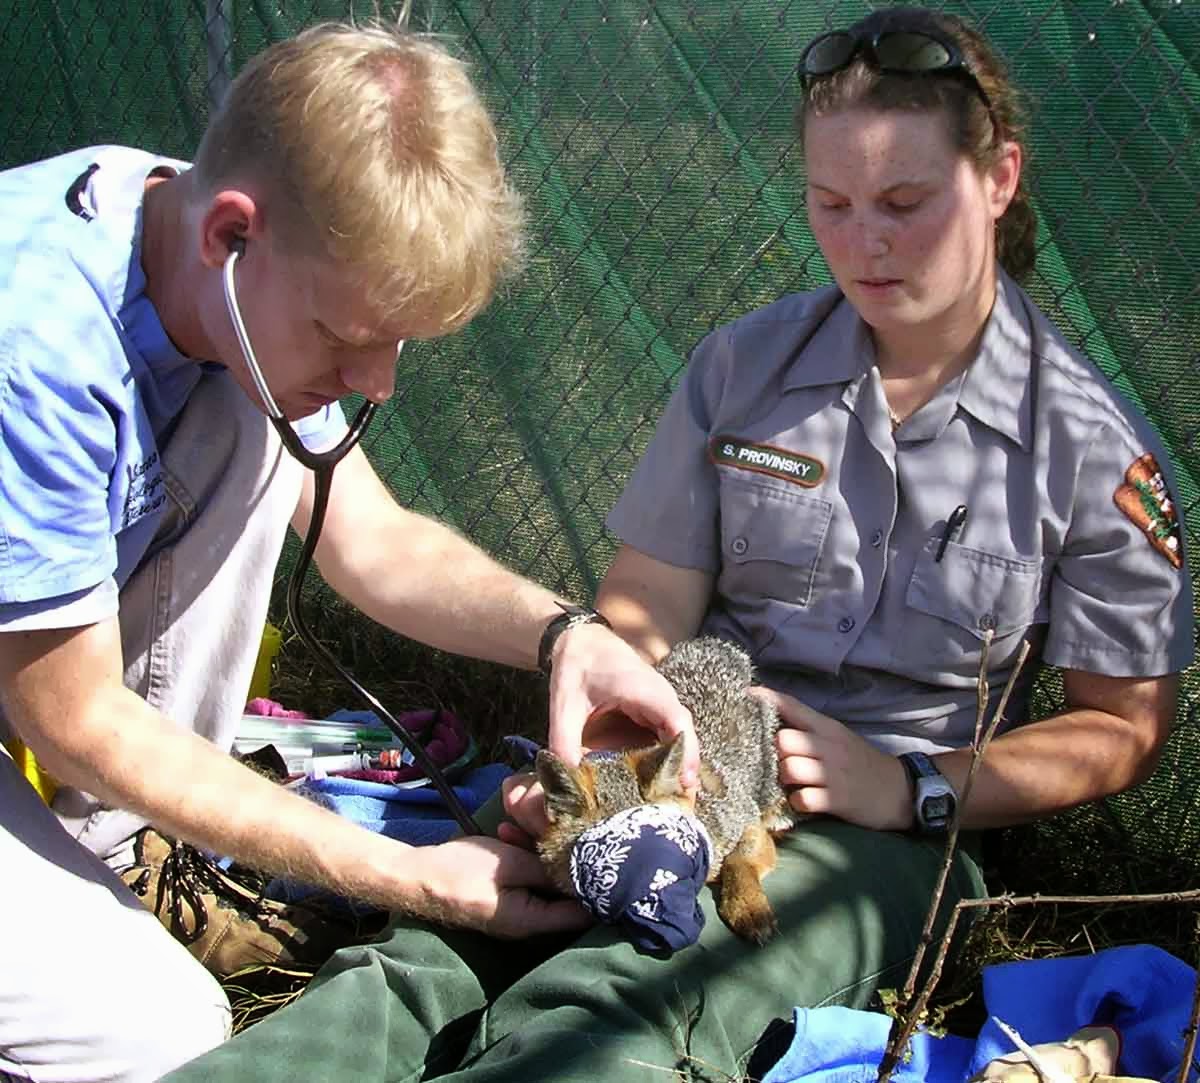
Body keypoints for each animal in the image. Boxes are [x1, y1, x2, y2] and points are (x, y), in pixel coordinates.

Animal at [534, 636, 797, 944]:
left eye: (675, 853)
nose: (669, 925)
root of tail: (711, 647)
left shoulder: (745, 820)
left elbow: (739, 861)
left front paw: (748, 906)